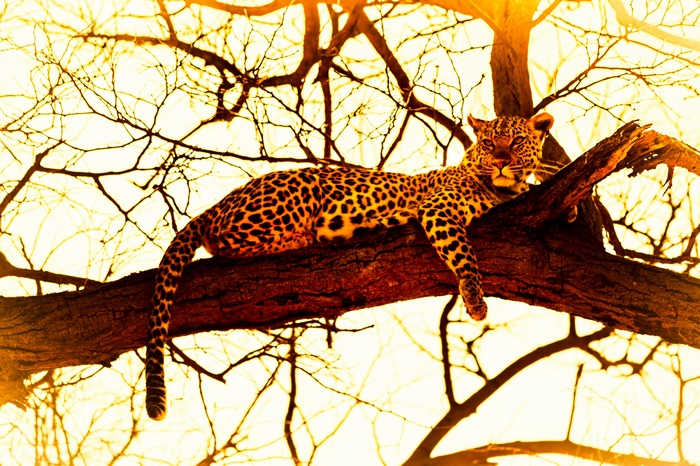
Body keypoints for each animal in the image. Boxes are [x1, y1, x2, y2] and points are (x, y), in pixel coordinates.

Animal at [145, 112, 555, 420]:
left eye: (516, 142)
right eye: (489, 143)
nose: (501, 160)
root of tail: (220, 203)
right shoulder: (438, 209)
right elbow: (464, 253)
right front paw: (474, 298)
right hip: (296, 190)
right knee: (225, 241)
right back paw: (305, 237)